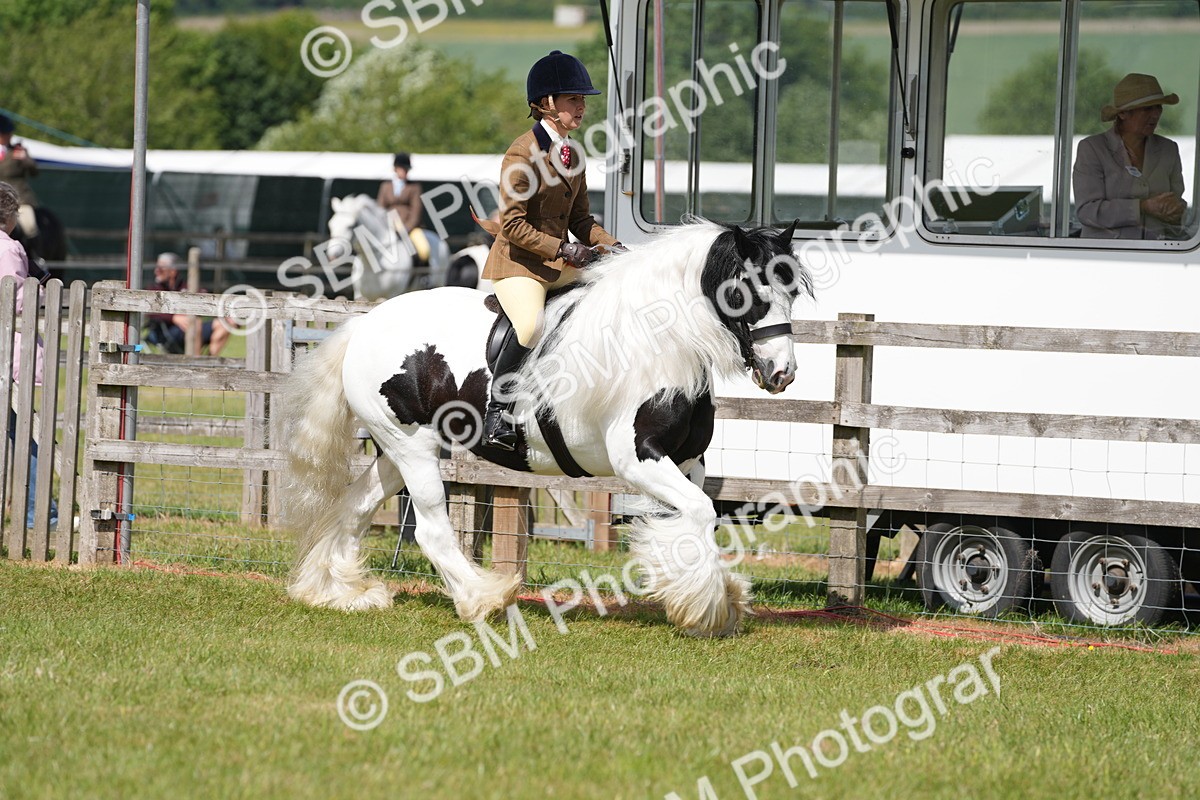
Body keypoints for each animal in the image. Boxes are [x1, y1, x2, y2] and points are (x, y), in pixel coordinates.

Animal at [280, 219, 811, 637]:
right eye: (746, 292)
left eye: (791, 292)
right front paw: (709, 608)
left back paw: (342, 593)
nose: (782, 373)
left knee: (356, 506)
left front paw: (707, 599)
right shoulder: (638, 460)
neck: (659, 342)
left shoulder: (687, 462)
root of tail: (365, 325)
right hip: (411, 447)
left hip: (396, 450)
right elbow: (700, 513)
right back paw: (483, 598)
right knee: (431, 529)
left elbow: (692, 521)